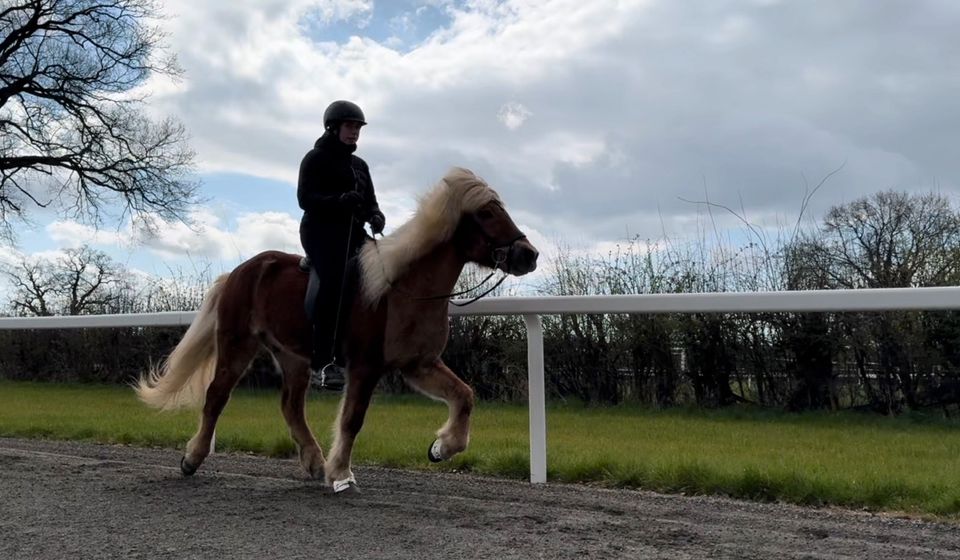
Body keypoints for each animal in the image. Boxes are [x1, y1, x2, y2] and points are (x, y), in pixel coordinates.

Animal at [133, 168, 540, 492]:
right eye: (486, 212)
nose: (529, 255)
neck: (404, 288)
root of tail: (239, 272)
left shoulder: (419, 365)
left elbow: (464, 395)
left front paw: (441, 448)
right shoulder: (365, 367)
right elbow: (352, 419)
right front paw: (342, 474)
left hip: (293, 356)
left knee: (291, 405)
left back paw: (314, 462)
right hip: (237, 344)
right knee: (217, 396)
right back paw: (192, 458)